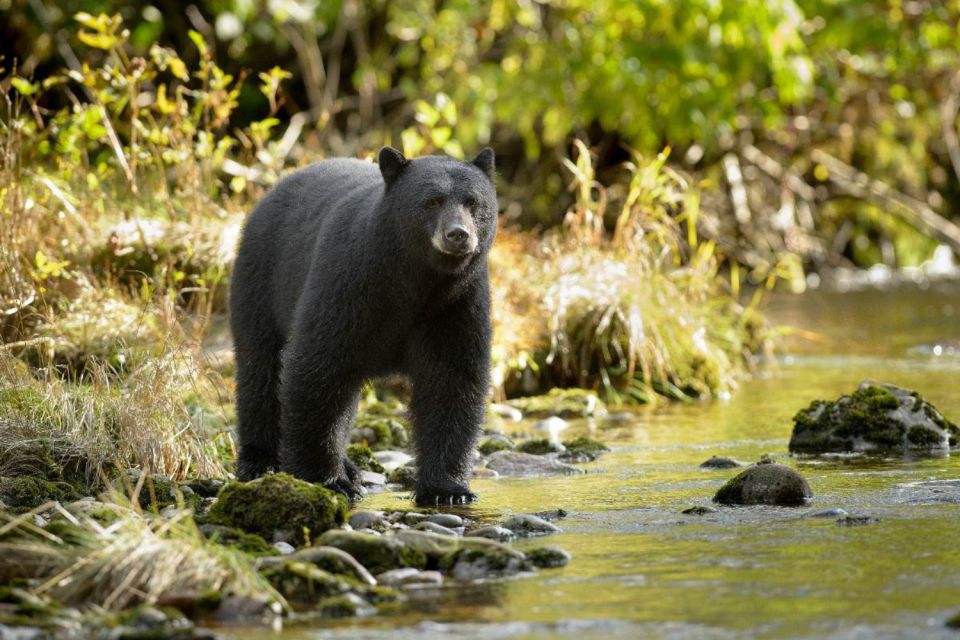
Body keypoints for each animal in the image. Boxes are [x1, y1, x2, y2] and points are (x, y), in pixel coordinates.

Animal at [227, 145, 496, 504]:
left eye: (472, 201)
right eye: (433, 201)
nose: (458, 235)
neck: (415, 281)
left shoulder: (456, 304)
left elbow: (452, 380)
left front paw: (447, 489)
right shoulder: (350, 284)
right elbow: (316, 366)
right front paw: (326, 479)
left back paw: (350, 467)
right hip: (261, 282)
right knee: (260, 370)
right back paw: (261, 461)